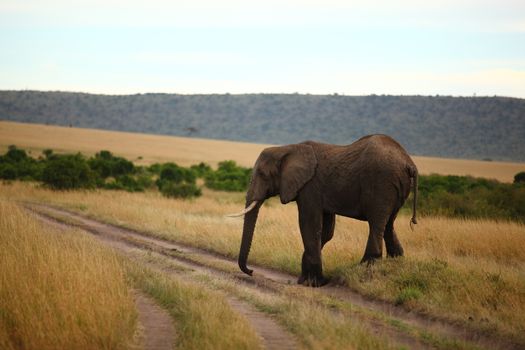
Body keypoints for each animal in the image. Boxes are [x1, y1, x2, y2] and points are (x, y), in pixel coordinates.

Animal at [229, 134, 418, 288]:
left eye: (262, 174)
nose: (251, 271)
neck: (287, 148)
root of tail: (409, 163)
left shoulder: (310, 186)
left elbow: (309, 225)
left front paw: (313, 283)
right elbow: (326, 231)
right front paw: (305, 280)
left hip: (381, 184)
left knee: (377, 223)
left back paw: (361, 270)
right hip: (396, 187)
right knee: (389, 224)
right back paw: (396, 262)